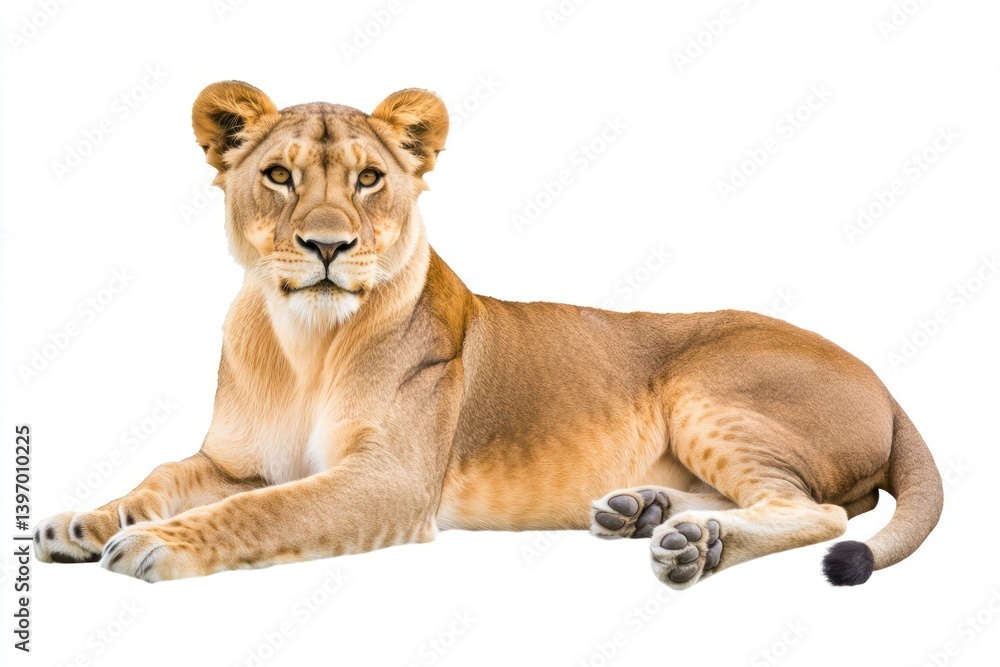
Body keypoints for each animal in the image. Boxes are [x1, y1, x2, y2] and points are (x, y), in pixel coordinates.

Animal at [34, 82, 943, 588]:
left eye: (370, 178)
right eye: (279, 175)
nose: (327, 245)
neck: (304, 344)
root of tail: (888, 384)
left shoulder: (391, 481)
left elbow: (265, 511)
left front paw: (153, 543)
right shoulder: (232, 460)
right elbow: (162, 474)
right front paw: (86, 522)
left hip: (704, 384)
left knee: (819, 509)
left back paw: (693, 546)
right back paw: (646, 511)